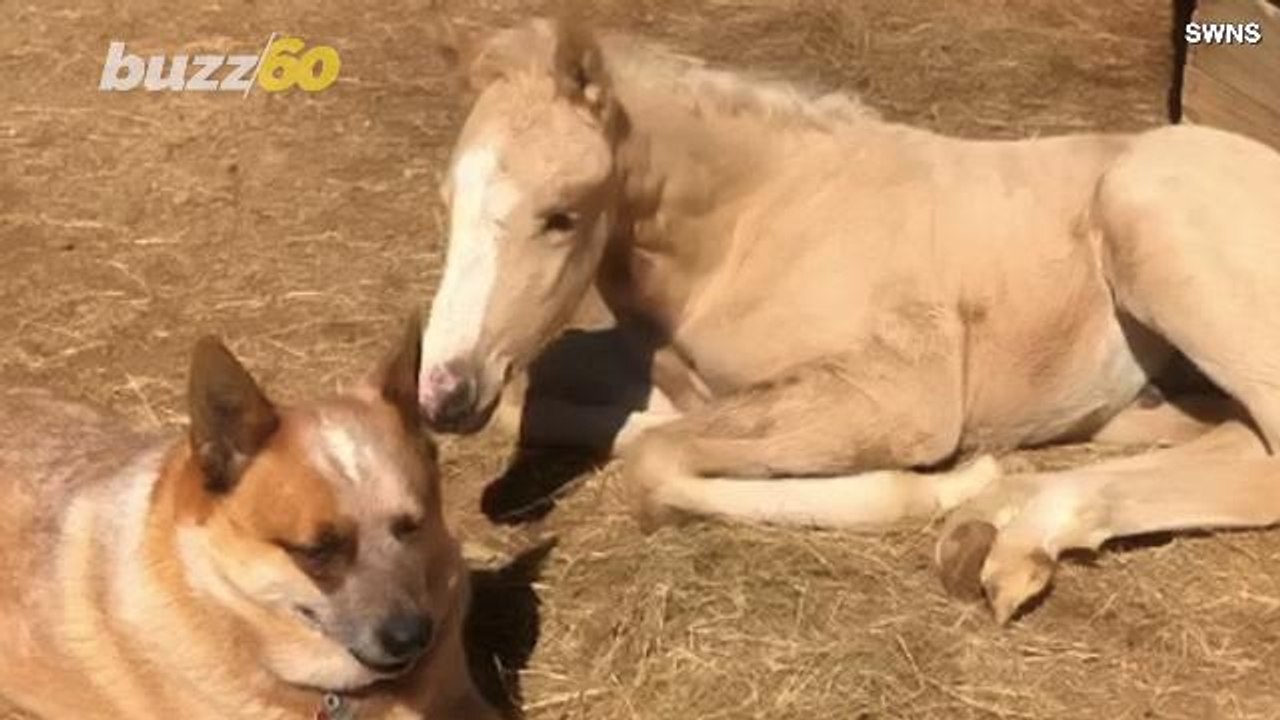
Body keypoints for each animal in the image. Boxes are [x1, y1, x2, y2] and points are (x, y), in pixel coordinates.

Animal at [414, 16, 1280, 623]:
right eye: (449, 203)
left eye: (561, 216)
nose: (444, 398)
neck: (752, 221)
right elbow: (552, 405)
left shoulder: (902, 396)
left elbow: (656, 463)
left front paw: (943, 485)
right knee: (1220, 442)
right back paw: (999, 527)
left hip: (1152, 220)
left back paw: (1000, 526)